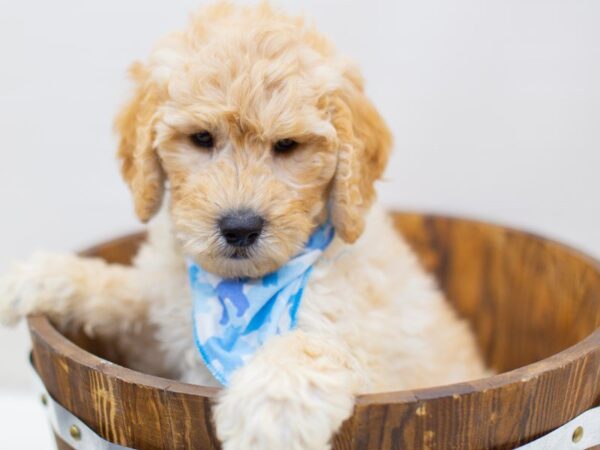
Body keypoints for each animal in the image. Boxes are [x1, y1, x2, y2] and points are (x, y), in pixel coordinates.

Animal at [0, 3, 486, 450]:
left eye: (287, 145)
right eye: (201, 138)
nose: (240, 228)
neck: (240, 285)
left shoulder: (373, 357)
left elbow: (315, 344)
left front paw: (269, 411)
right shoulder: (160, 332)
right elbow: (125, 292)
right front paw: (37, 277)